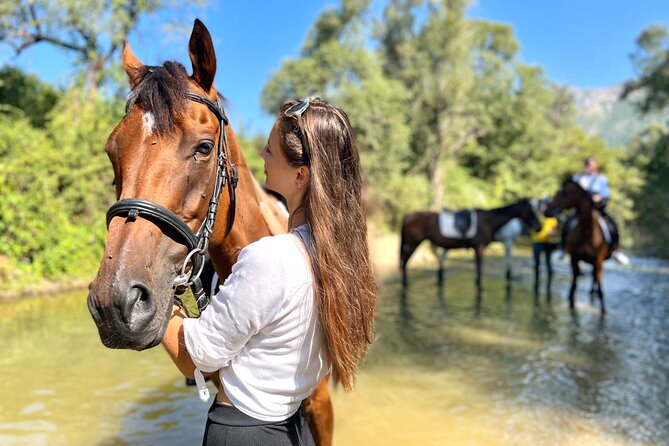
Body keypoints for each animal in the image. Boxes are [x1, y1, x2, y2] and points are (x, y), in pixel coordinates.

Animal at [400, 199, 540, 290]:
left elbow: (478, 268)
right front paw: (479, 286)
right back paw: (405, 283)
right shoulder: (479, 248)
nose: (539, 227)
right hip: (413, 243)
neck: (488, 221)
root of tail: (408, 216)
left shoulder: (479, 248)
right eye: (530, 211)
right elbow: (479, 268)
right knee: (405, 262)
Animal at [544, 178, 616, 314]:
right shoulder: (574, 258)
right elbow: (574, 283)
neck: (587, 231)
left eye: (565, 193)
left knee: (595, 278)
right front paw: (571, 302)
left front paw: (603, 309)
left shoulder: (598, 261)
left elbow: (599, 288)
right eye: (557, 192)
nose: (547, 211)